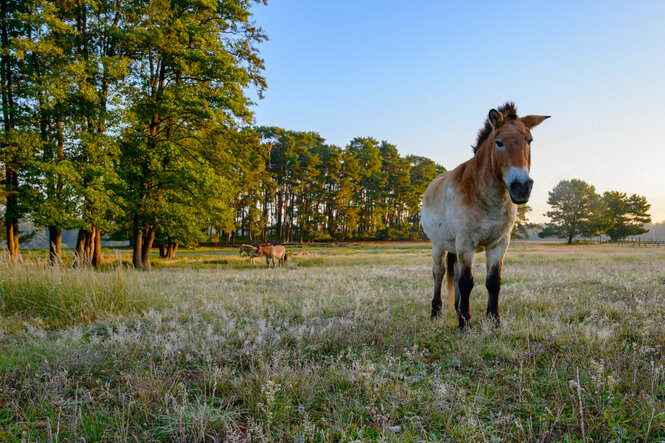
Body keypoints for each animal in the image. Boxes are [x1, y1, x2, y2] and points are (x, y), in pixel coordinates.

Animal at [421, 102, 549, 330]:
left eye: (529, 140)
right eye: (499, 142)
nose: (521, 187)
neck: (486, 196)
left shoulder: (499, 244)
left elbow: (493, 282)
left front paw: (494, 320)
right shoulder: (465, 242)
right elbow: (466, 282)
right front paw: (465, 324)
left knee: (454, 273)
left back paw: (456, 310)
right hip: (439, 245)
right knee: (439, 273)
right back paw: (436, 312)